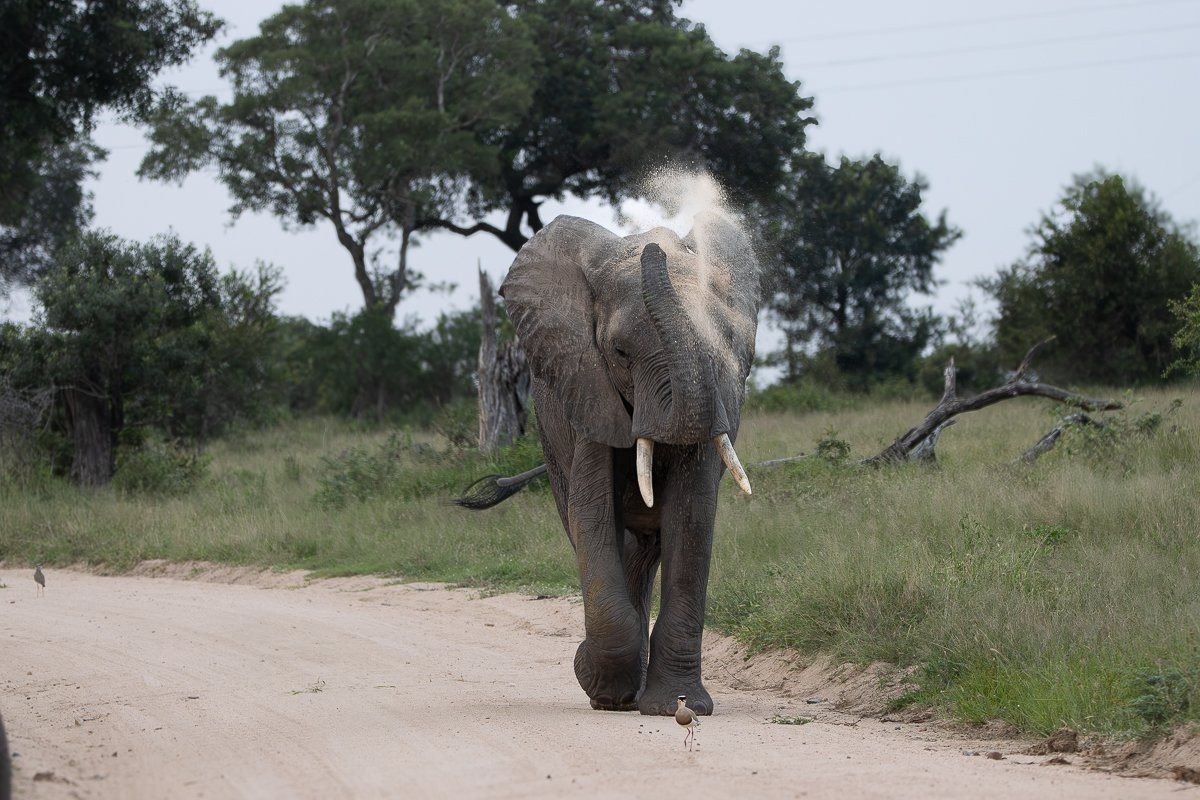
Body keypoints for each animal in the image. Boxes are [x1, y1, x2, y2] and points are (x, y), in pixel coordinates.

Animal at [484, 211, 759, 717]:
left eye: (728, 343)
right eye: (620, 353)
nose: (655, 250)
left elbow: (692, 517)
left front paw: (679, 706)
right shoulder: (587, 390)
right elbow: (593, 513)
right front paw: (593, 677)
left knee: (645, 549)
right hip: (550, 435)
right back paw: (614, 694)